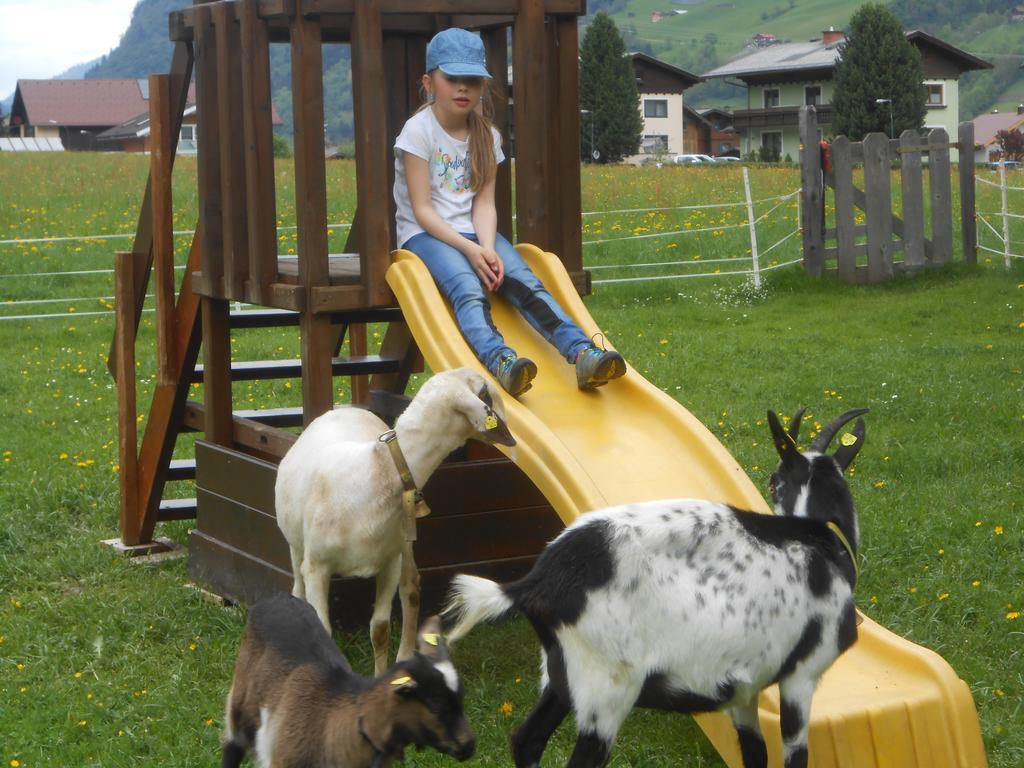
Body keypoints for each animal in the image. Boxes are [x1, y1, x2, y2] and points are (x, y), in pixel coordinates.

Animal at [444, 409, 868, 768]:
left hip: (559, 674)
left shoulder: (744, 691)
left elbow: (755, 756)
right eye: (774, 481)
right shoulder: (803, 674)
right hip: (607, 686)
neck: (822, 540)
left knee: (526, 740)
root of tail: (538, 581)